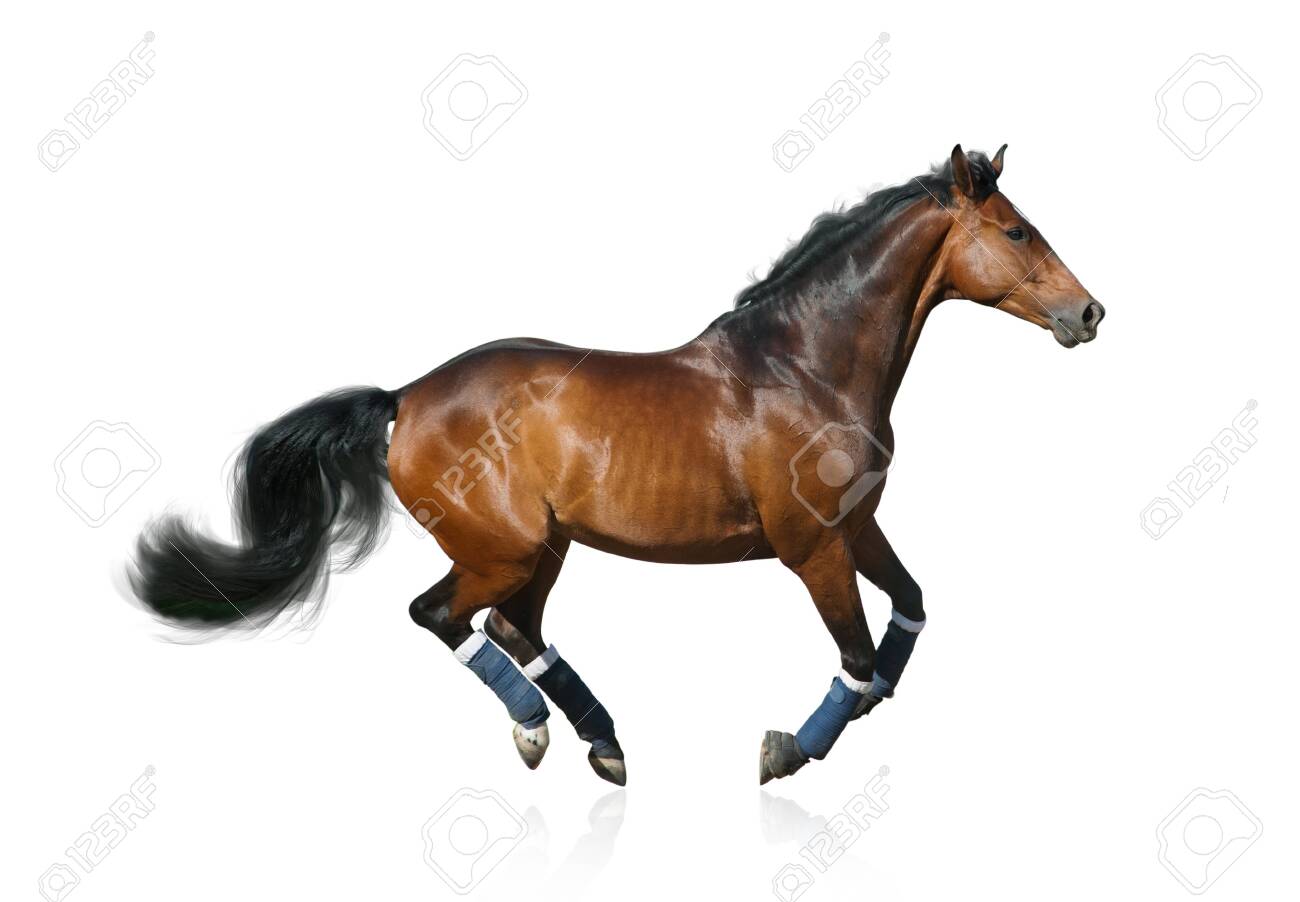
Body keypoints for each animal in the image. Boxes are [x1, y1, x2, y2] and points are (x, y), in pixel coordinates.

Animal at [130, 145, 1104, 786]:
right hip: (502, 549)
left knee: (515, 628)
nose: (1090, 313)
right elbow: (859, 657)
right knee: (445, 616)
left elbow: (909, 613)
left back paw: (600, 741)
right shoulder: (812, 547)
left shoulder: (857, 527)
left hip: (544, 548)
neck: (804, 364)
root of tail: (405, 397)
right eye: (1017, 232)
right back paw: (536, 731)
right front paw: (790, 748)